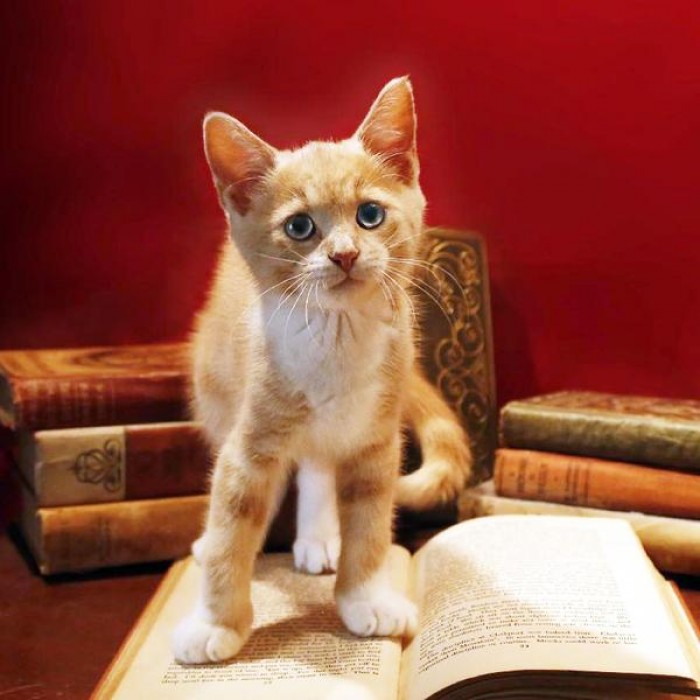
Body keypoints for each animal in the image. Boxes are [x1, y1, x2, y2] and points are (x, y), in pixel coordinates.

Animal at [172, 77, 472, 664]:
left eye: (370, 215)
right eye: (300, 226)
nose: (345, 254)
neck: (338, 342)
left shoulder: (377, 440)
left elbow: (371, 526)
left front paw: (364, 598)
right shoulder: (250, 443)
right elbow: (232, 526)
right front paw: (216, 624)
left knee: (315, 464)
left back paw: (319, 535)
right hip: (216, 390)